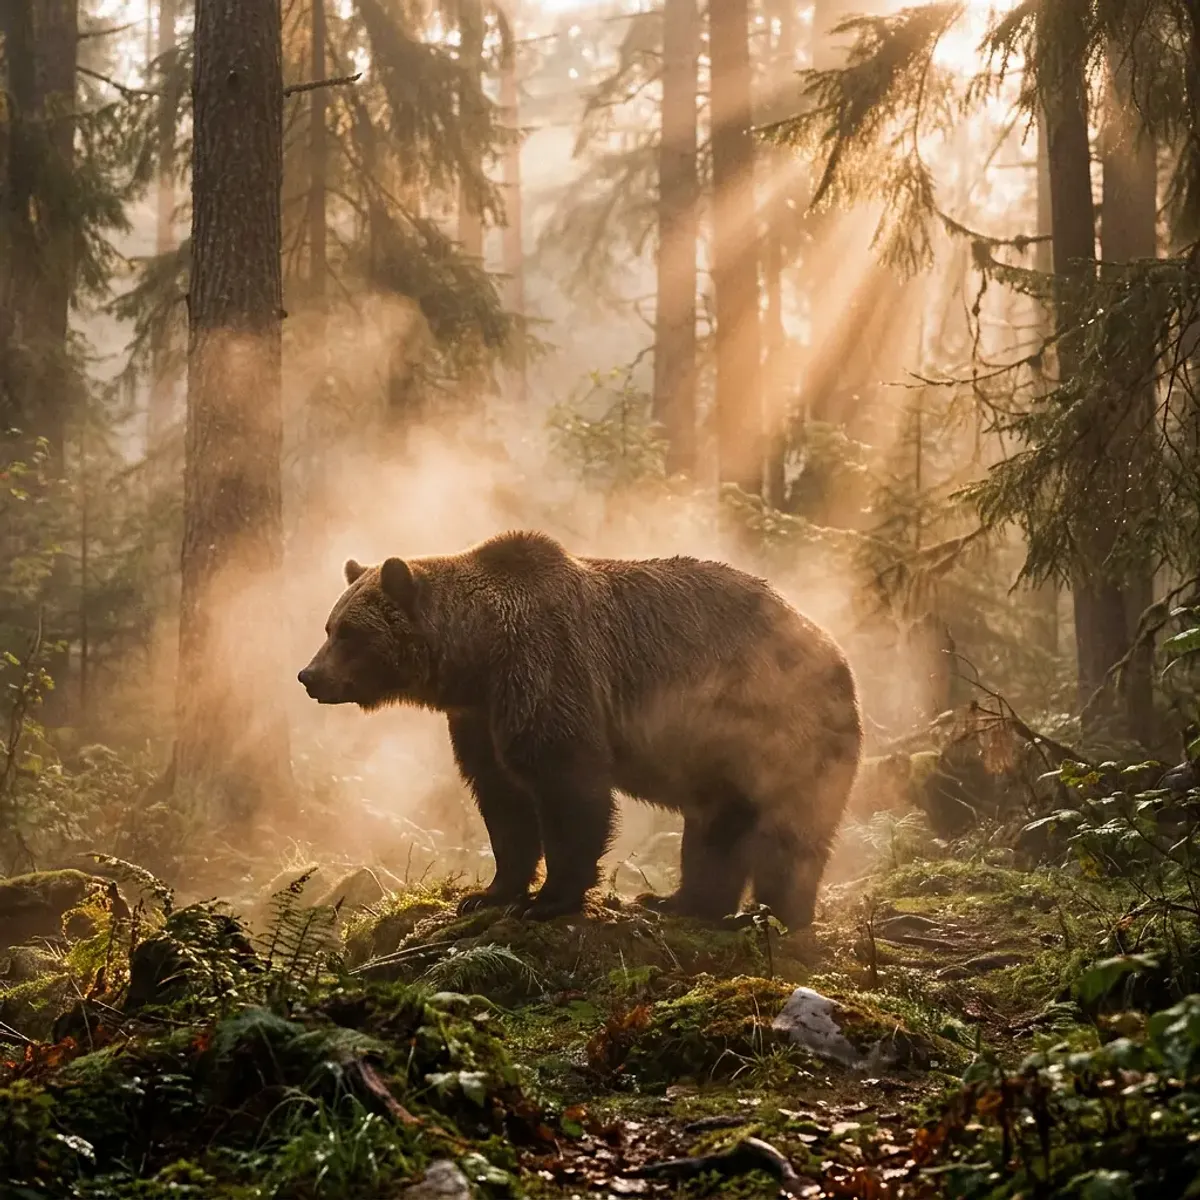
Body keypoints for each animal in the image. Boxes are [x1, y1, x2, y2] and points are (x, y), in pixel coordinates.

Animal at [297, 530, 863, 926]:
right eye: (329, 626)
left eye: (349, 632)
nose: (309, 676)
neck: (479, 657)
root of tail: (837, 653)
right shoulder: (481, 716)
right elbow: (503, 803)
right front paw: (488, 894)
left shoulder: (549, 672)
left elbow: (568, 788)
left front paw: (548, 900)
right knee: (716, 829)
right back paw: (679, 901)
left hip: (786, 730)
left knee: (788, 834)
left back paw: (775, 914)